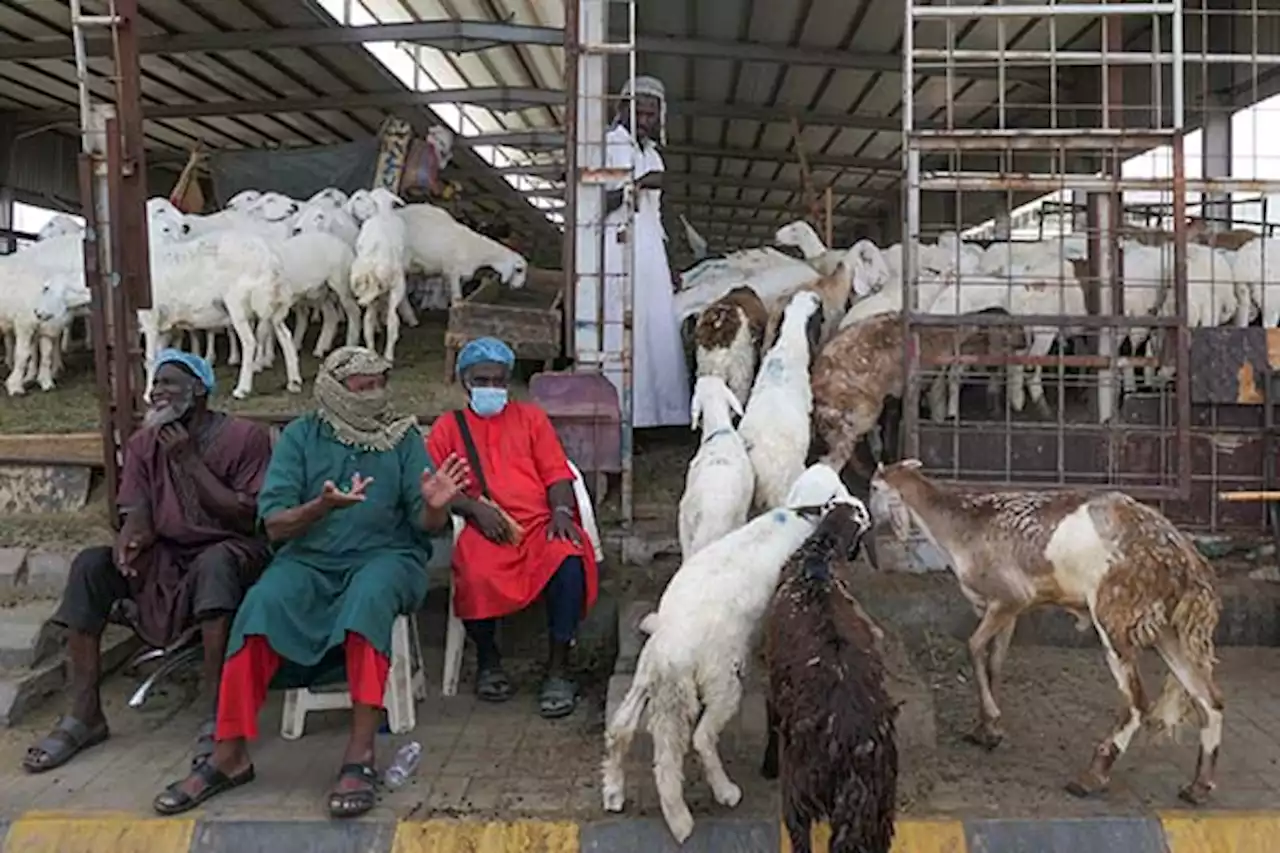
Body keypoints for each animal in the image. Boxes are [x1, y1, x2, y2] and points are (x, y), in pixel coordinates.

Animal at [601, 461, 870, 840]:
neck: (799, 515)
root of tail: (672, 650)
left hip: (646, 676)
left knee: (621, 728)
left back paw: (613, 790)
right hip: (722, 681)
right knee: (700, 737)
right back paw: (721, 794)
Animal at [757, 499, 901, 850]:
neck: (818, 559)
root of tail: (853, 747)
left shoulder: (772, 678)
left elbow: (771, 717)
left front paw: (767, 766)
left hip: (799, 791)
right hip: (877, 811)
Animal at [875, 455, 1223, 799]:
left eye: (873, 487)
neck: (961, 526)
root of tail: (1184, 557)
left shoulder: (1008, 597)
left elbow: (973, 647)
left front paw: (991, 721)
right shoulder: (1007, 610)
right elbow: (994, 661)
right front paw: (987, 730)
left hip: (1115, 616)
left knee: (1137, 703)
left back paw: (1091, 777)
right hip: (1168, 628)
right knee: (1209, 698)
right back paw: (1199, 786)